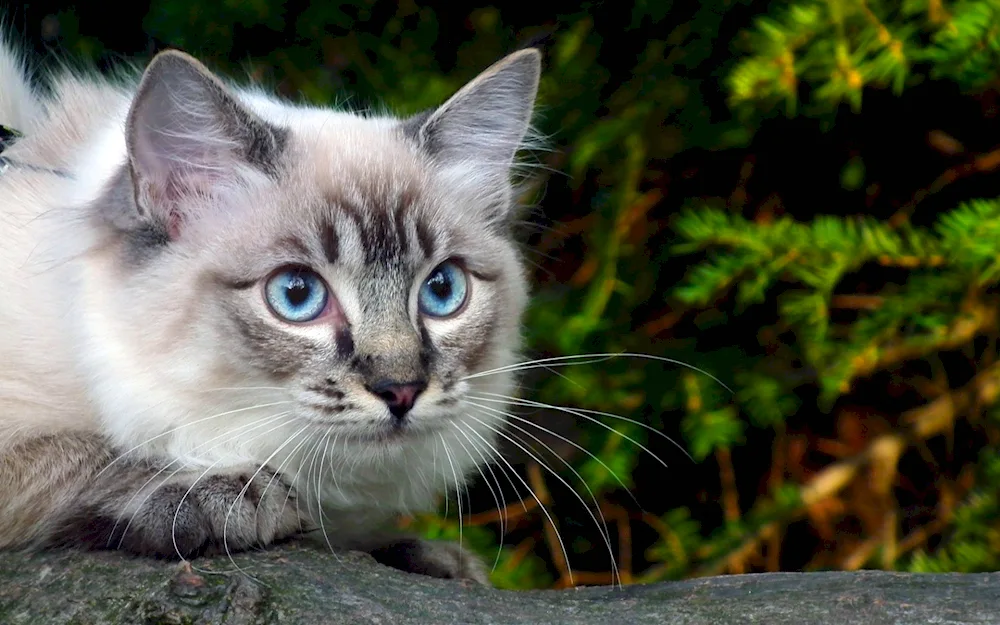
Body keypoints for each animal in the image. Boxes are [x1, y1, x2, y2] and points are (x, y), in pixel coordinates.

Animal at [0, 31, 540, 584]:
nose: (402, 389)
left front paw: (429, 559)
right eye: (297, 295)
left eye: (442, 290)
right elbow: (103, 453)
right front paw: (231, 492)